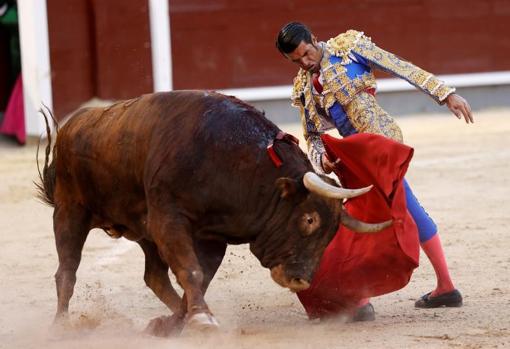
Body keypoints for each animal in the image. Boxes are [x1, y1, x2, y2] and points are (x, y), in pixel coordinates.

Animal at [36, 91, 390, 336]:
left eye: (332, 233)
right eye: (309, 219)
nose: (300, 280)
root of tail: (74, 124)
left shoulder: (212, 237)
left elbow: (199, 275)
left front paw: (177, 321)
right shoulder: (169, 217)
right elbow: (191, 271)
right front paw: (201, 319)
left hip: (143, 232)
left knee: (154, 276)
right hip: (70, 212)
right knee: (66, 271)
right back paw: (61, 326)